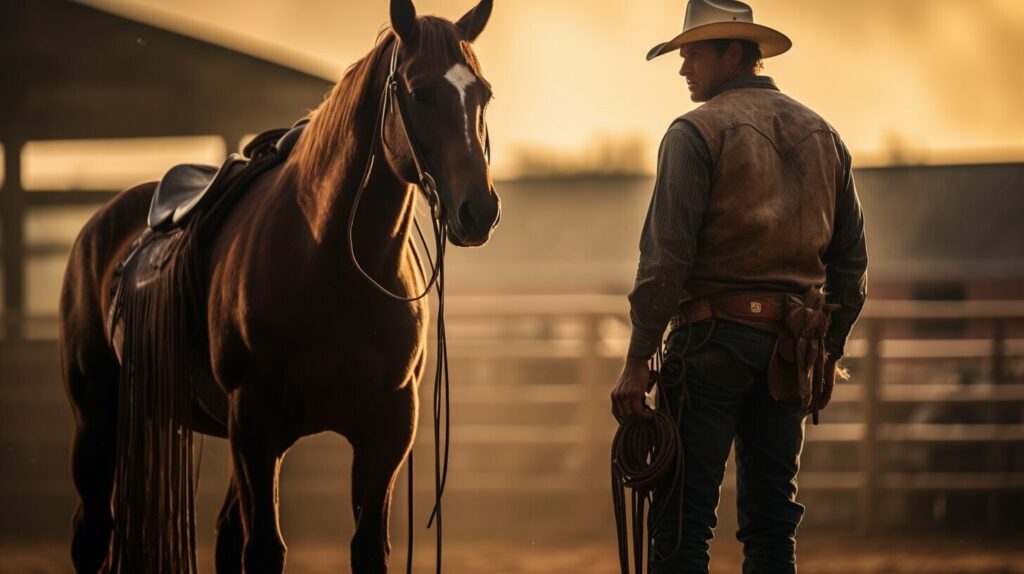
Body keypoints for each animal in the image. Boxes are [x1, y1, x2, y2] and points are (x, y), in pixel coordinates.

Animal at [59, 1, 499, 568]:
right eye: (420, 92)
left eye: (482, 94)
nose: (479, 211)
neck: (329, 265)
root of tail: (101, 223)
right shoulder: (255, 422)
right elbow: (266, 550)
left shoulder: (388, 426)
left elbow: (365, 548)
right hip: (97, 418)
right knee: (92, 533)